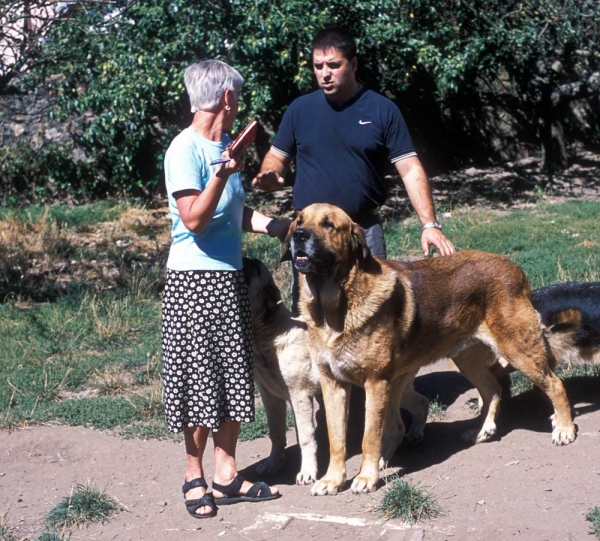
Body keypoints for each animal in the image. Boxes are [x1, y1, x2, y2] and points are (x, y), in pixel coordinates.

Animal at [284, 201, 580, 494]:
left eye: (328, 224)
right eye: (299, 221)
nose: (299, 236)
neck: (333, 306)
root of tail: (515, 268)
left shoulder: (375, 383)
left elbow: (370, 437)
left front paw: (367, 478)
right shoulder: (332, 384)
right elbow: (337, 440)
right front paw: (332, 480)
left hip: (518, 351)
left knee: (555, 384)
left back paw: (564, 429)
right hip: (463, 361)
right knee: (492, 390)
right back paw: (481, 431)